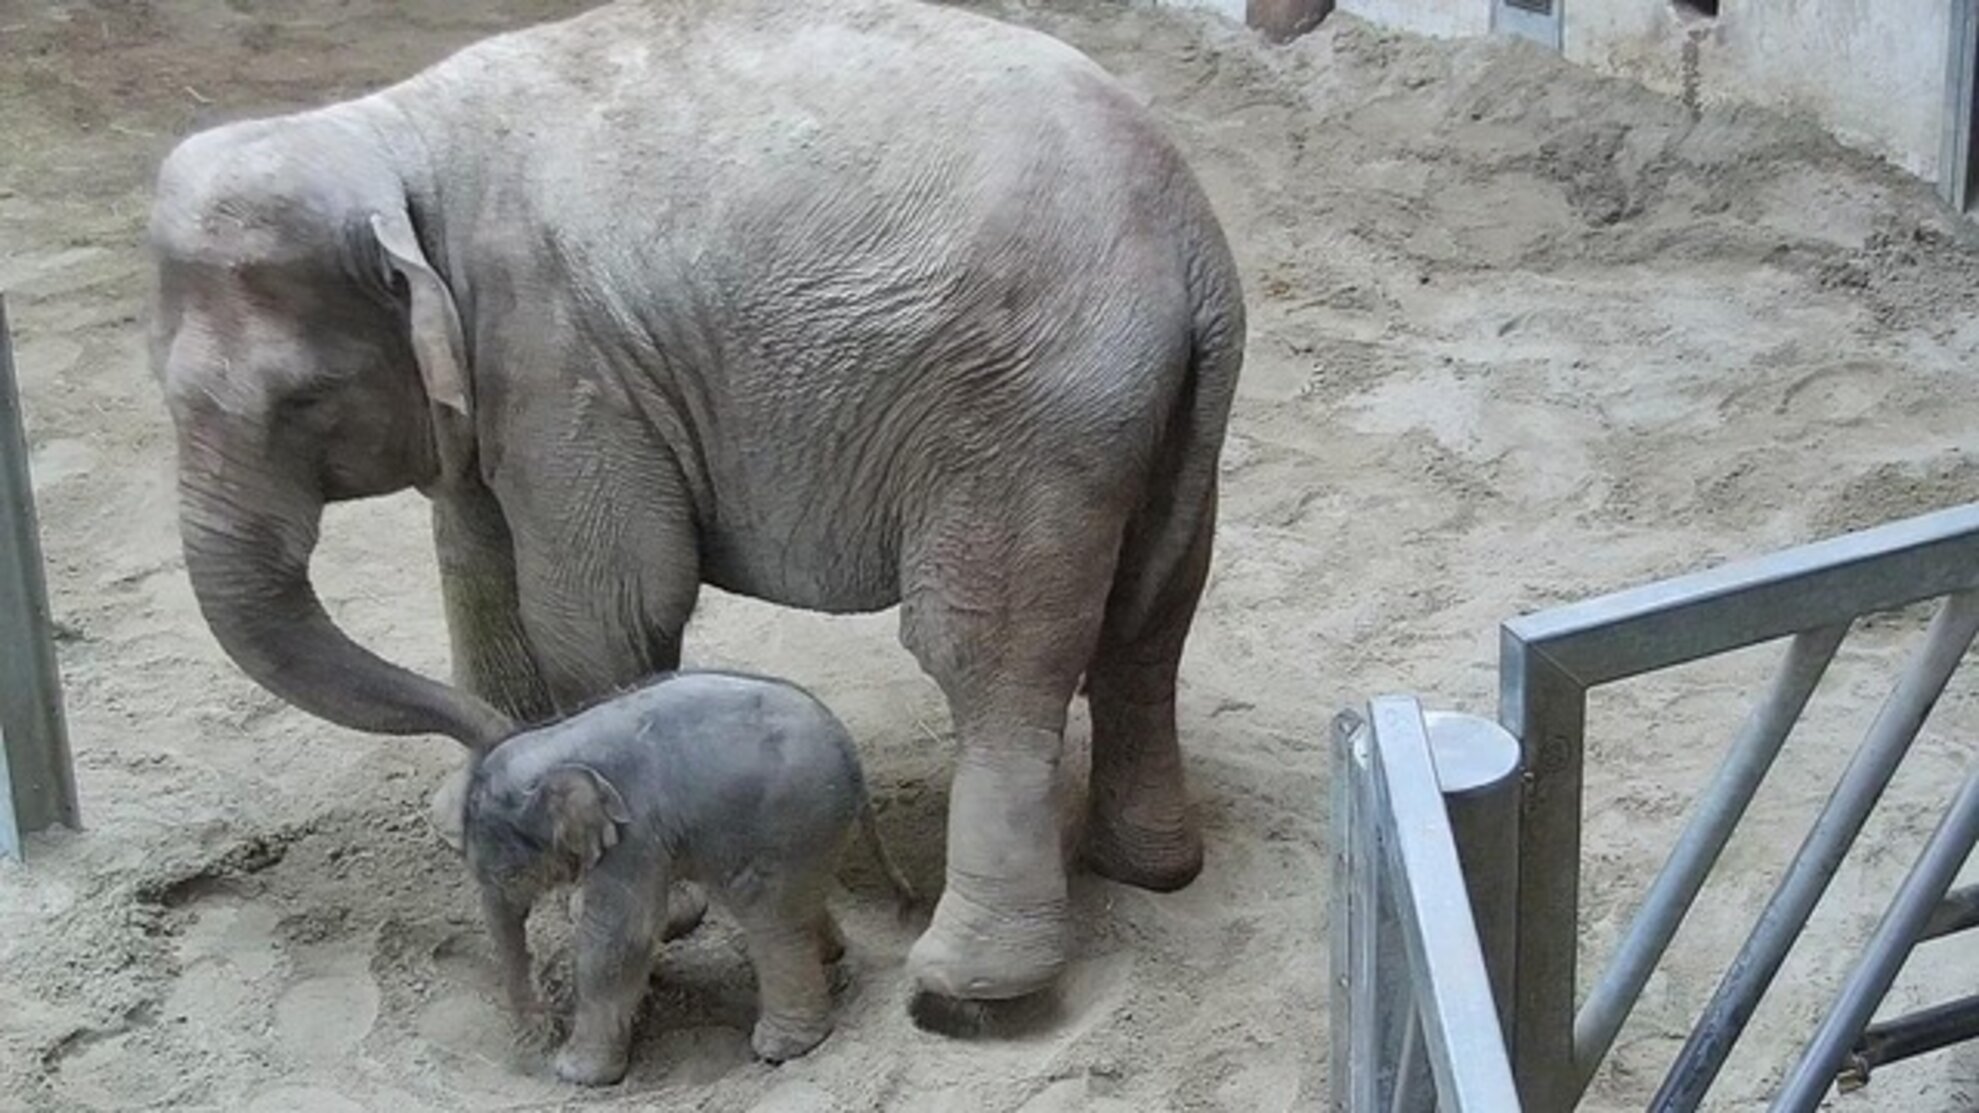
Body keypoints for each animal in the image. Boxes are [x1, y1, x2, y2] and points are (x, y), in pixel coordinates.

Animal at [150, 0, 1234, 1006]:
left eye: (303, 402)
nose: (484, 764)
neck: (387, 129)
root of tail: (1190, 229)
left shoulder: (563, 359)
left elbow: (602, 609)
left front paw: (648, 904)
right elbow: (475, 565)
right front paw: (475, 811)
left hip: (1027, 416)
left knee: (988, 657)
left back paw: (967, 987)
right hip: (1167, 414)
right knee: (1148, 622)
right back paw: (1149, 869)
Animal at [465, 665, 918, 1085]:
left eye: (508, 875)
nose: (539, 1032)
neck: (555, 740)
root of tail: (848, 748)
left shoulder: (634, 831)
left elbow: (621, 935)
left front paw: (576, 1074)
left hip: (790, 819)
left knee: (767, 915)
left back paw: (781, 1048)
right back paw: (831, 957)